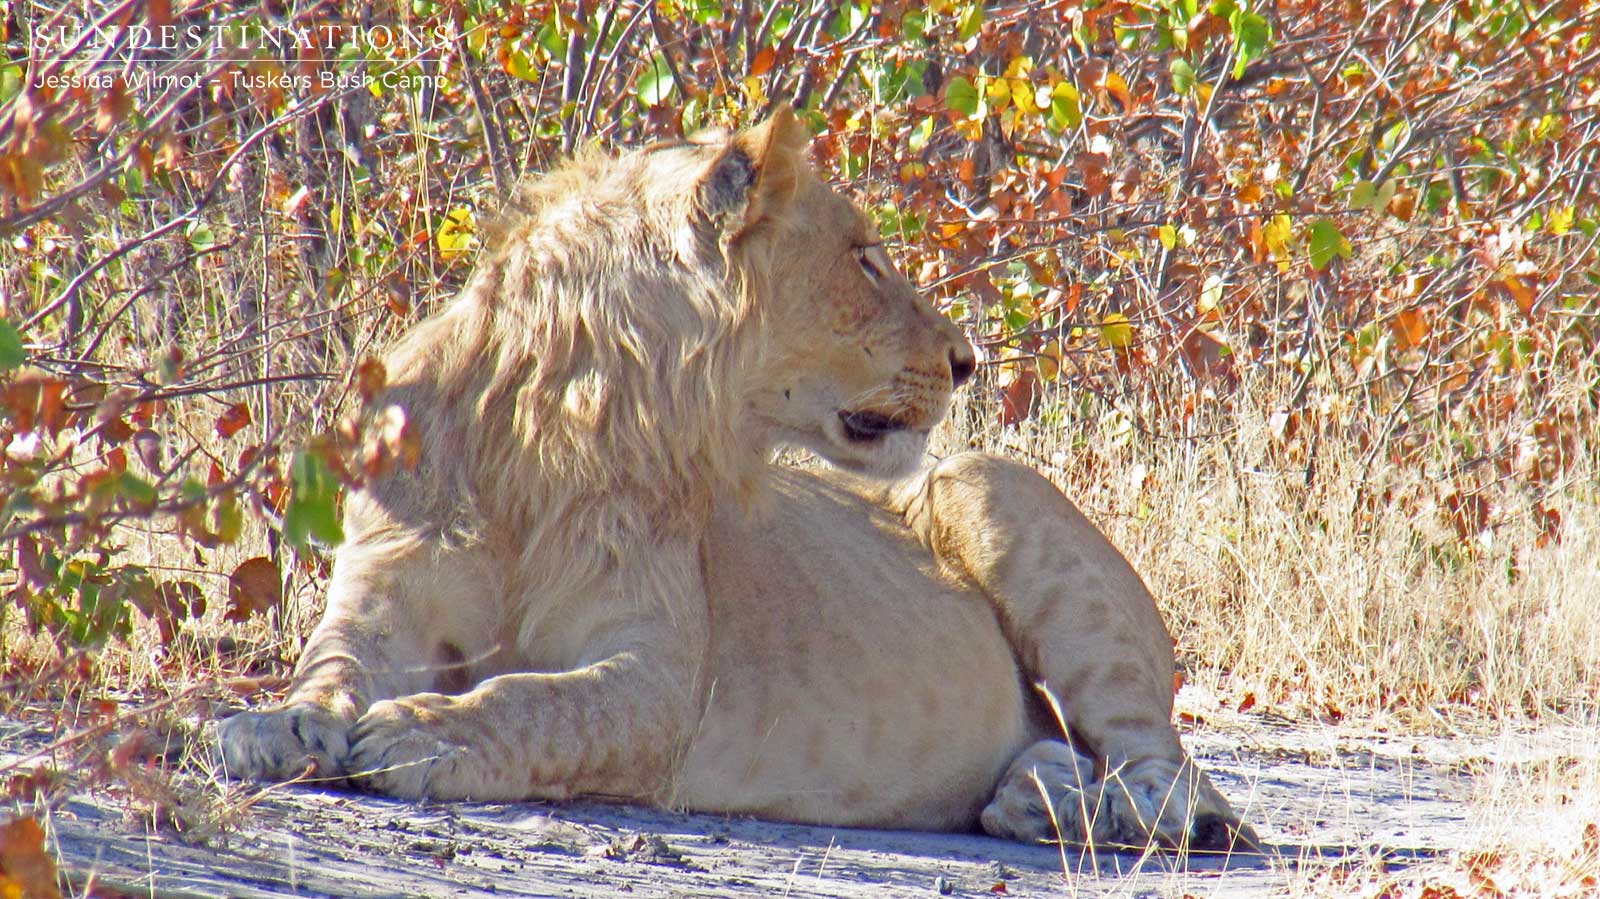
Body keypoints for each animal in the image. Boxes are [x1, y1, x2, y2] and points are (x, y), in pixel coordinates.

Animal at [218, 106, 1258, 851]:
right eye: (866, 259)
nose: (968, 362)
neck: (553, 425)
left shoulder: (660, 682)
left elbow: (537, 700)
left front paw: (424, 731)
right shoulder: (382, 592)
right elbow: (330, 663)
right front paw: (274, 727)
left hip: (979, 480)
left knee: (1175, 775)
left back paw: (1089, 812)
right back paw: (1039, 795)